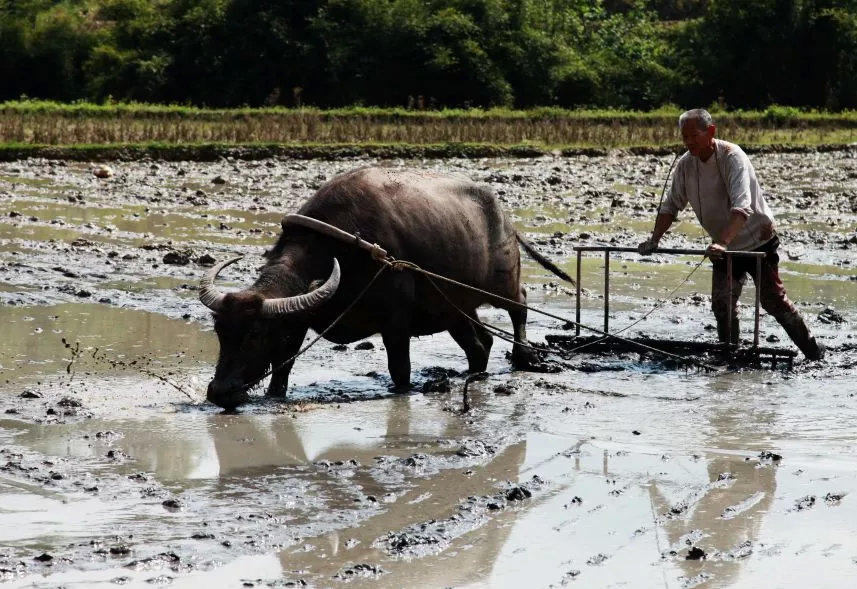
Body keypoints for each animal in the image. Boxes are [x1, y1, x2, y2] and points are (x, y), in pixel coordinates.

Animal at [201, 164, 572, 404]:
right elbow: (283, 366)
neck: (343, 249)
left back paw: (525, 356)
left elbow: (400, 369)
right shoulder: (298, 322)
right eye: (221, 333)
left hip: (502, 283)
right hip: (454, 307)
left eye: (254, 335)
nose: (219, 392)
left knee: (519, 305)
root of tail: (504, 218)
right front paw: (274, 394)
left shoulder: (396, 321)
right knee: (480, 344)